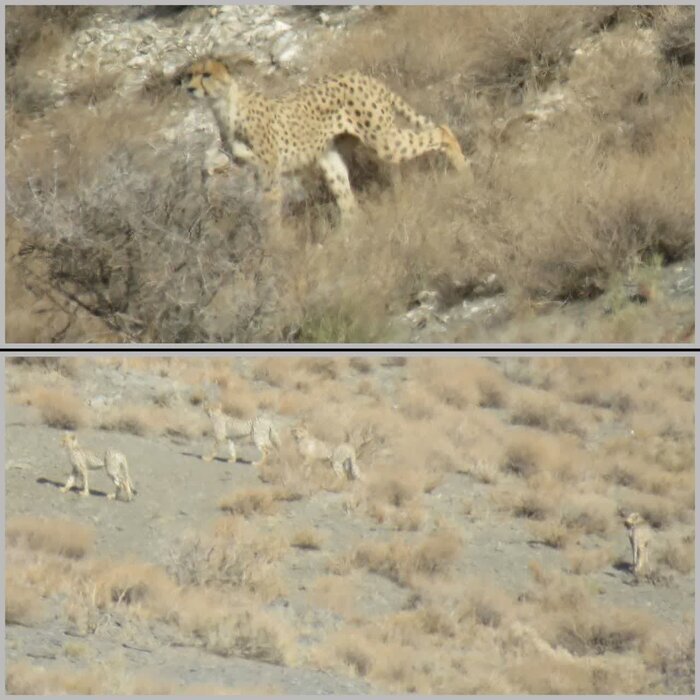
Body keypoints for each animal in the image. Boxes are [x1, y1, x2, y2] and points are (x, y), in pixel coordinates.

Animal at [185, 58, 470, 221]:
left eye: (207, 75)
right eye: (190, 75)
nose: (189, 88)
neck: (223, 105)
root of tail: (363, 76)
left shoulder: (269, 175)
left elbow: (271, 217)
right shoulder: (255, 171)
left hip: (383, 140)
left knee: (442, 130)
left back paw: (463, 171)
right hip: (329, 157)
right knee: (347, 199)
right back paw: (350, 239)